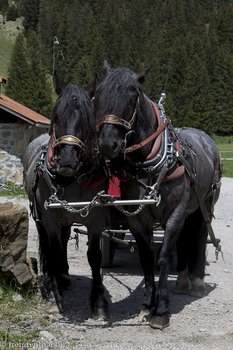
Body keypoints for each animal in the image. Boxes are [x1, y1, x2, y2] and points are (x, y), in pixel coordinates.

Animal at [23, 77, 109, 318]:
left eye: (88, 118)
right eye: (56, 116)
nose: (67, 160)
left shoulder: (96, 219)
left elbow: (94, 256)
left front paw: (98, 302)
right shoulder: (50, 218)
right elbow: (53, 252)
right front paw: (55, 297)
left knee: (64, 238)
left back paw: (64, 275)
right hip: (42, 217)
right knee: (54, 245)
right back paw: (58, 279)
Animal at [93, 62, 221, 328]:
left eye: (133, 95)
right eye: (98, 94)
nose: (108, 144)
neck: (148, 164)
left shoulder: (175, 212)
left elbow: (162, 257)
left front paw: (161, 311)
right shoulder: (137, 218)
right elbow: (146, 259)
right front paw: (145, 306)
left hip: (204, 205)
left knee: (199, 235)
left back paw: (197, 282)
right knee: (184, 239)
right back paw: (181, 280)